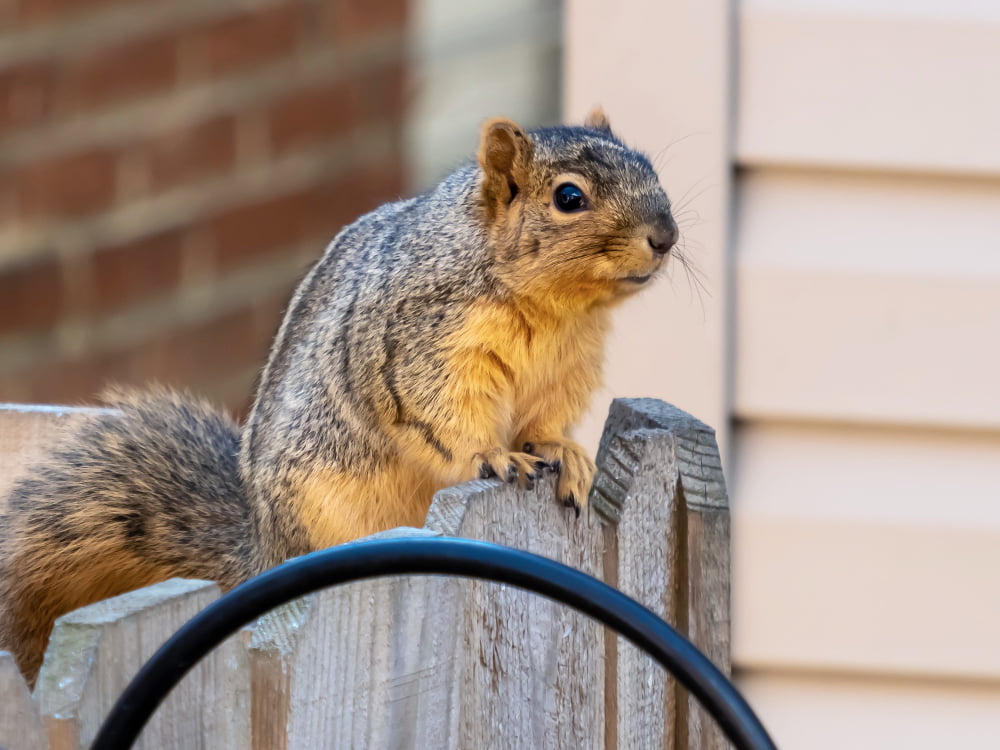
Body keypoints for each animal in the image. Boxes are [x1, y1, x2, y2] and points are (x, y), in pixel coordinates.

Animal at [0, 108, 680, 684]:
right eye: (569, 197)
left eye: (650, 168)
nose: (666, 235)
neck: (558, 310)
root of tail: (264, 552)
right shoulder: (422, 346)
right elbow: (442, 416)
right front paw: (495, 455)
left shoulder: (566, 371)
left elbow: (545, 422)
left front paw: (563, 452)